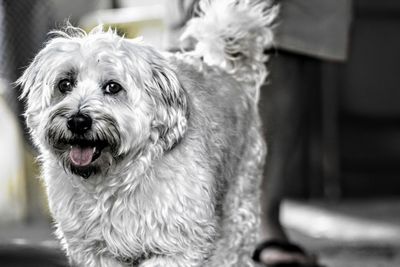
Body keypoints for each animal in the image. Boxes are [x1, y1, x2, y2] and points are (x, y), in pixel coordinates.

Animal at [16, 1, 278, 266]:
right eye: (65, 84)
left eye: (113, 87)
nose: (78, 121)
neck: (114, 183)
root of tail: (231, 74)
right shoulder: (93, 251)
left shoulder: (177, 247)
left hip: (239, 209)